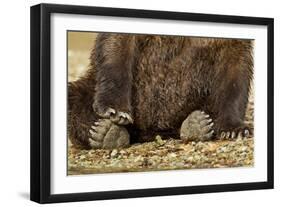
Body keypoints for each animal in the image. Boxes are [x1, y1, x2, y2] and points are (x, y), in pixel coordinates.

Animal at [67, 33, 252, 149]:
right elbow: (117, 46)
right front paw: (116, 110)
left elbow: (235, 71)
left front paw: (234, 129)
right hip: (91, 85)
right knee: (75, 96)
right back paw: (105, 133)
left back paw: (197, 124)